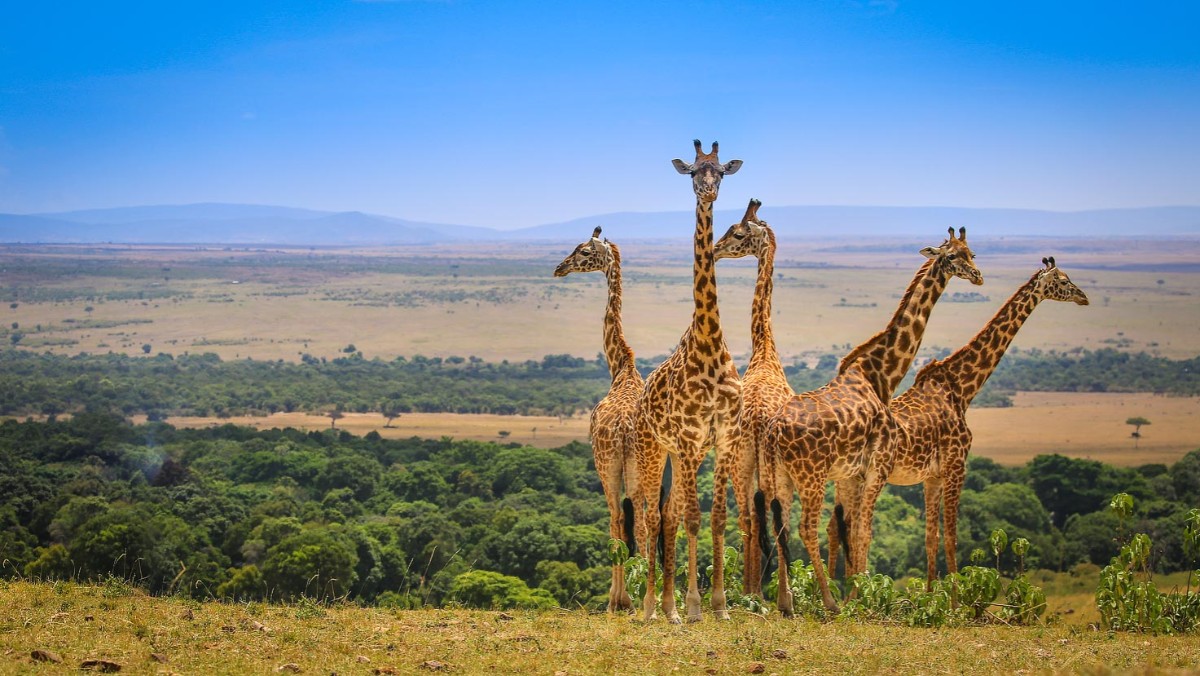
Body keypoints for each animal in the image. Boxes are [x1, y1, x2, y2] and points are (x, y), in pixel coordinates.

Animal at [763, 226, 979, 614]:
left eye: (972, 253)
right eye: (953, 256)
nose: (978, 276)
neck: (879, 375)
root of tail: (774, 432)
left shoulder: (853, 473)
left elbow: (853, 529)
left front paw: (859, 592)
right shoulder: (876, 467)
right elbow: (863, 530)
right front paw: (861, 598)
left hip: (780, 475)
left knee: (783, 526)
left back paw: (787, 604)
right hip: (812, 475)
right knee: (805, 528)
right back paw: (829, 602)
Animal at [830, 258, 1094, 593]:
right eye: (1062, 280)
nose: (1083, 297)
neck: (962, 388)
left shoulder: (932, 476)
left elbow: (931, 538)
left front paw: (930, 595)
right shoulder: (958, 465)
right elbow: (952, 539)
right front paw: (954, 599)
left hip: (845, 479)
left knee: (837, 527)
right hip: (866, 478)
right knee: (852, 529)